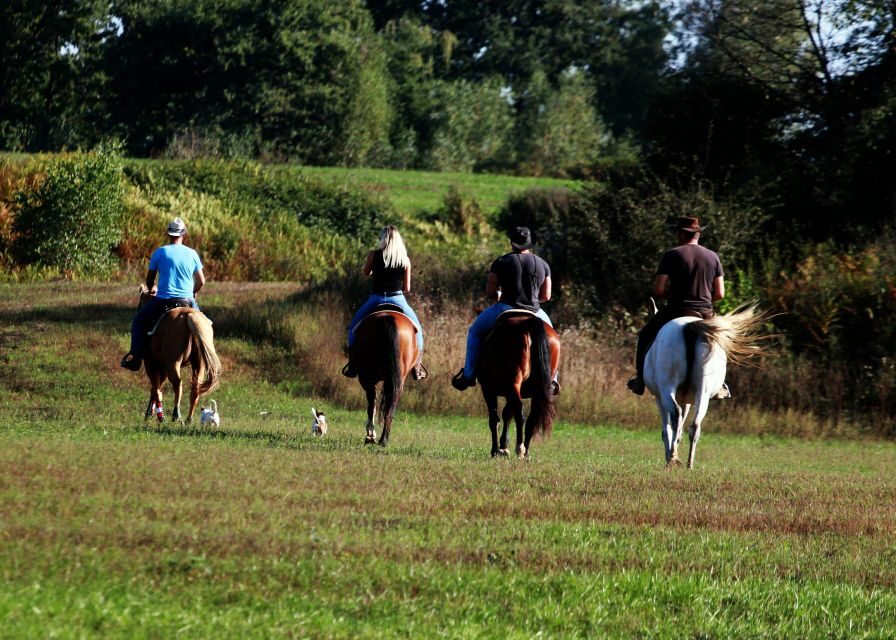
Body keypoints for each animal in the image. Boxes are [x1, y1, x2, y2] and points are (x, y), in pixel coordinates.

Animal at [137, 285, 222, 424]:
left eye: (140, 303)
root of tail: (188, 315)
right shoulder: (162, 367)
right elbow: (157, 388)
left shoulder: (151, 364)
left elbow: (155, 388)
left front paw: (152, 414)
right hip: (199, 364)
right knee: (195, 388)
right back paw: (188, 419)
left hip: (173, 362)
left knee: (177, 383)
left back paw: (176, 414)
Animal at [349, 306, 419, 446]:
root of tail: (388, 318)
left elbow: (372, 403)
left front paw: (371, 435)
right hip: (396, 378)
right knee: (391, 404)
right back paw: (383, 439)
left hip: (367, 375)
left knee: (372, 402)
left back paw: (372, 436)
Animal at [476, 312, 560, 459]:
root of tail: (529, 322)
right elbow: (507, 414)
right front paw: (503, 447)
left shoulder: (488, 389)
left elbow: (495, 419)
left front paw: (496, 450)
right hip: (536, 390)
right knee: (531, 419)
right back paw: (525, 452)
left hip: (513, 383)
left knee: (520, 414)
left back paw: (519, 448)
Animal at [644, 303, 769, 469]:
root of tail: (689, 326)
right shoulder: (686, 400)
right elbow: (679, 430)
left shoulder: (659, 397)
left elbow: (667, 430)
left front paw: (670, 454)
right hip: (702, 392)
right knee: (695, 426)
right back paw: (689, 464)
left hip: (667, 388)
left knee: (676, 416)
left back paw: (673, 459)